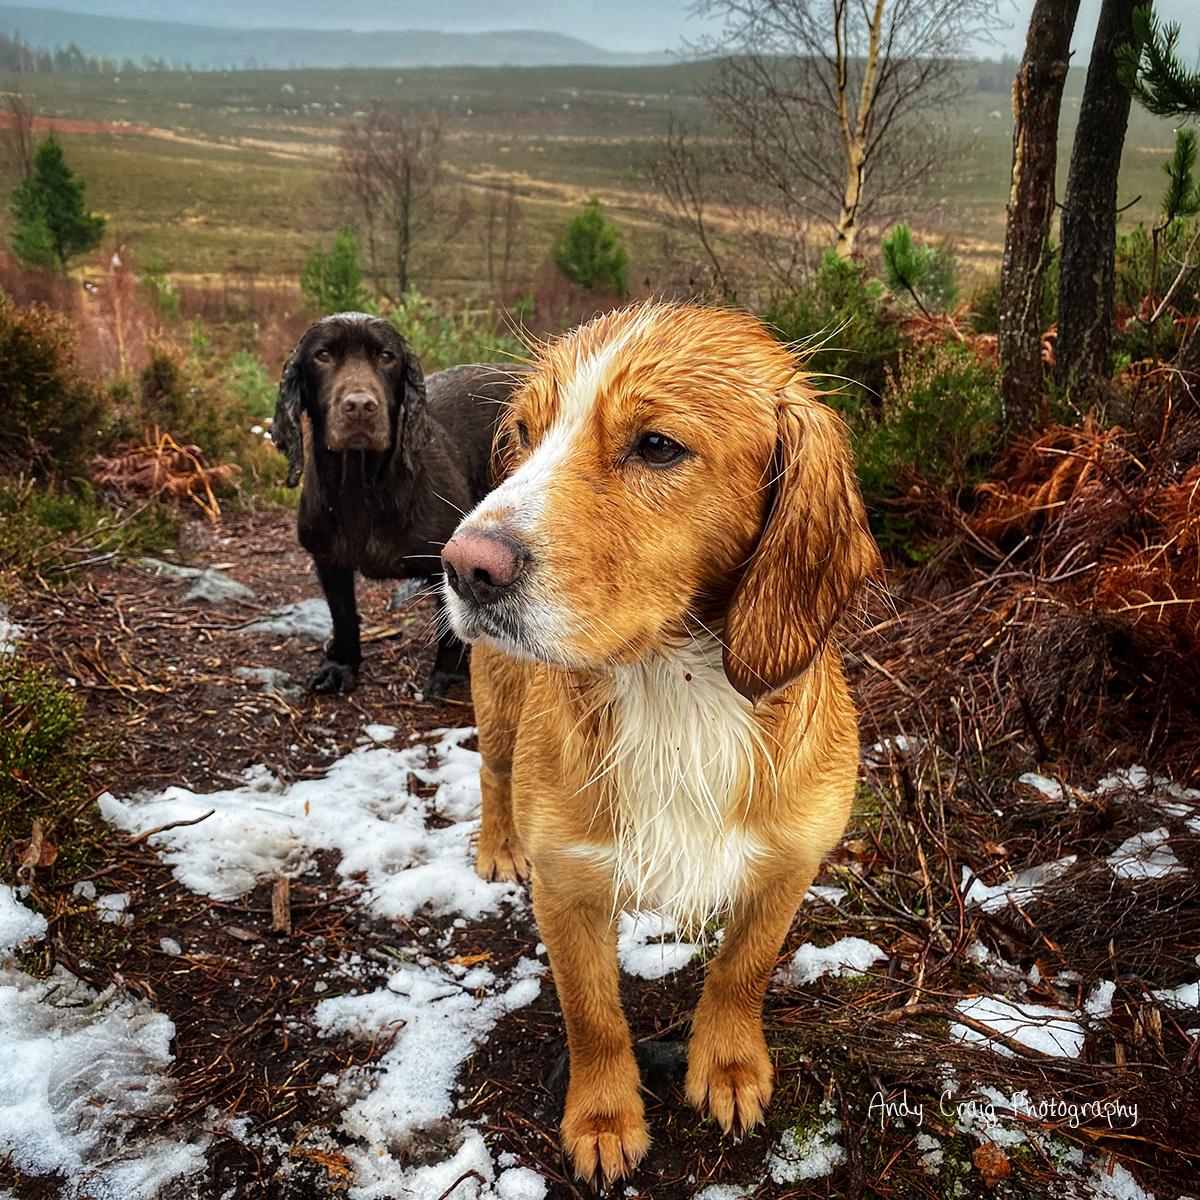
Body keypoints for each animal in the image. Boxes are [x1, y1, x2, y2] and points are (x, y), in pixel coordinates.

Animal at [271, 313, 525, 695]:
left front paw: (447, 678)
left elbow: (450, 629)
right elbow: (343, 618)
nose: (361, 406)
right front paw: (340, 667)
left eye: (387, 356)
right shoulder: (329, 563)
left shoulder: (448, 563)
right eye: (323, 355)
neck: (363, 490)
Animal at [440, 303, 881, 1186]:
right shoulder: (567, 888)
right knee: (492, 776)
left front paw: (730, 1067)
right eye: (525, 435)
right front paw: (604, 1118)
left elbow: (742, 972)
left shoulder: (789, 864)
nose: (464, 566)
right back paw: (497, 846)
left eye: (656, 445)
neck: (673, 689)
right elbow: (593, 1015)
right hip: (499, 711)